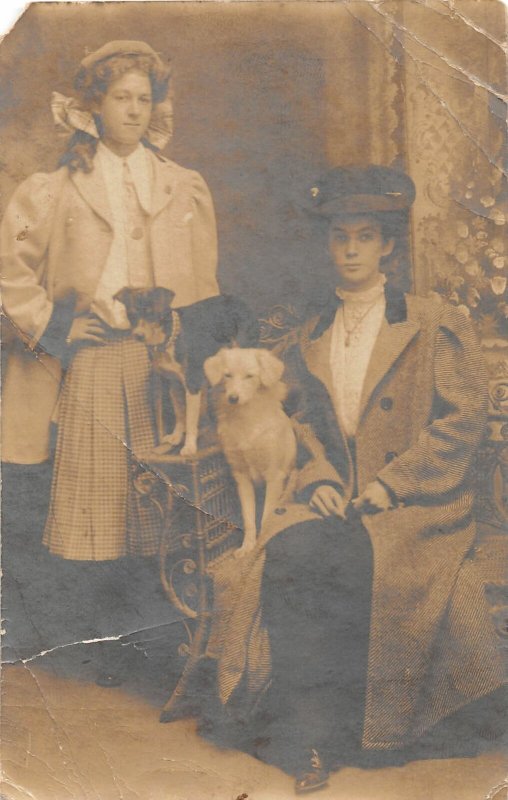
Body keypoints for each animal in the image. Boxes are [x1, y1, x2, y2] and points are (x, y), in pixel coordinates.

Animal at [203, 346, 298, 560]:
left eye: (249, 376)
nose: (233, 398)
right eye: (227, 375)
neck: (246, 419)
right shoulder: (242, 477)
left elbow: (267, 516)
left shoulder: (274, 476)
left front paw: (261, 545)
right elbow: (248, 518)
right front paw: (247, 546)